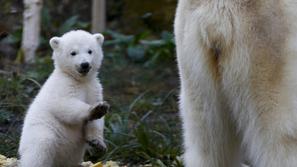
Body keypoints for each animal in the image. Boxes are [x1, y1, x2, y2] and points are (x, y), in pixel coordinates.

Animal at [18, 30, 108, 167]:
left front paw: (98, 144)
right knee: (41, 147)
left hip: (73, 152)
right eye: (73, 52)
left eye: (90, 51)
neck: (80, 80)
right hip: (41, 130)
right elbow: (63, 104)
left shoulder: (93, 88)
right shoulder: (63, 85)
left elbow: (96, 120)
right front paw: (95, 109)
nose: (85, 64)